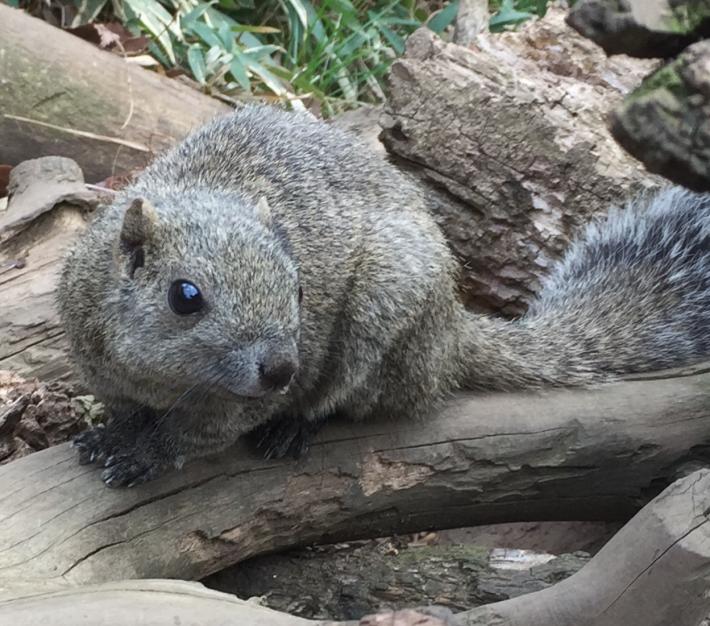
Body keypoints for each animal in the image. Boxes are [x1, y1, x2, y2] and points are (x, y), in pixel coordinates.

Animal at [59, 103, 710, 488]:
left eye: (300, 288)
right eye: (185, 296)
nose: (281, 369)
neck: (161, 376)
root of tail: (451, 331)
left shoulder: (237, 404)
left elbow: (198, 435)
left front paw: (147, 453)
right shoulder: (95, 356)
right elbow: (124, 409)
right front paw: (115, 435)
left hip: (386, 305)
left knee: (353, 394)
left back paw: (298, 425)